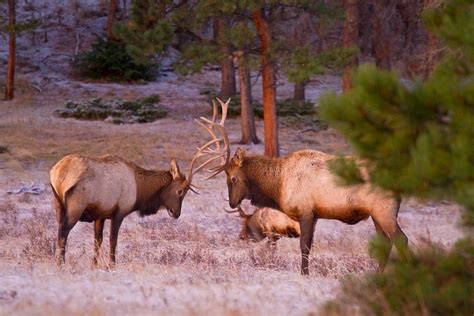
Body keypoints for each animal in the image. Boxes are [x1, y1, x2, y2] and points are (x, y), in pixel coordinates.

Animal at [194, 98, 410, 274]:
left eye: (233, 178)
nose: (232, 203)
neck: (278, 187)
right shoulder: (314, 215)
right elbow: (308, 246)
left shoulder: (305, 211)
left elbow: (304, 246)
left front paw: (304, 273)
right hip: (376, 214)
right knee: (386, 243)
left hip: (384, 210)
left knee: (401, 239)